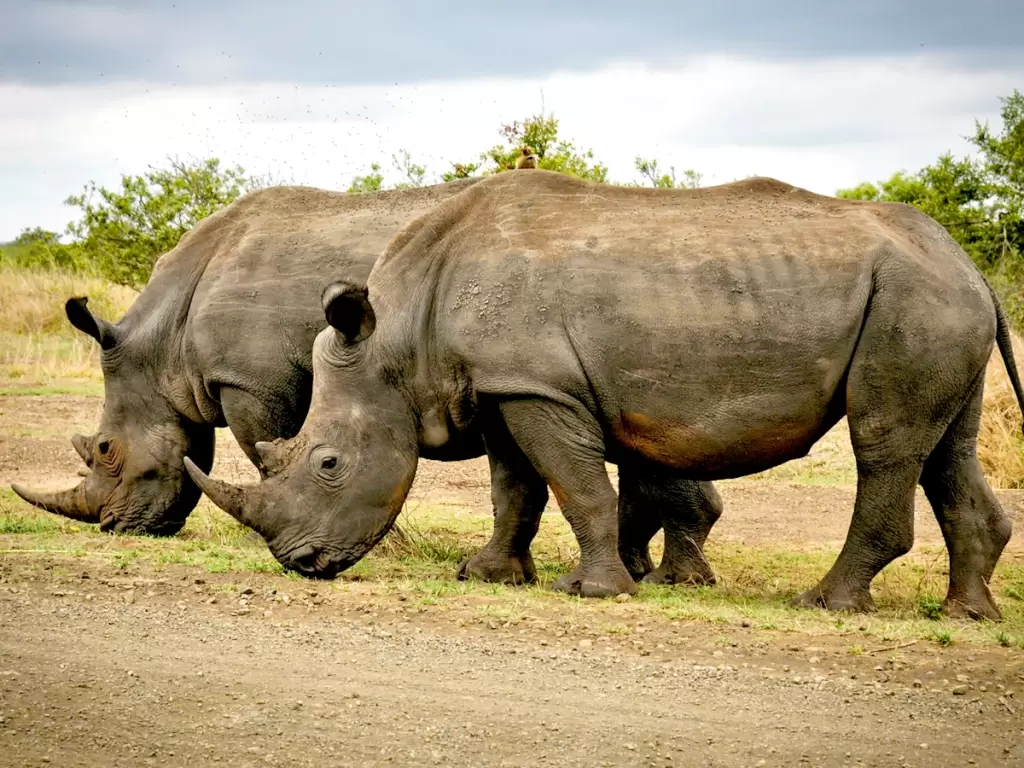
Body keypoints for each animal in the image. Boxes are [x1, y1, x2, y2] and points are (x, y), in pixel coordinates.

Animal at [10, 177, 723, 587]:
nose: (112, 526)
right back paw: (657, 573)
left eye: (106, 451)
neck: (164, 344)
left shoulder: (250, 382)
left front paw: (388, 545)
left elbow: (268, 451)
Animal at [186, 169, 1023, 620]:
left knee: (883, 441)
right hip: (934, 304)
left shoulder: (539, 387)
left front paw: (595, 592)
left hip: (913, 302)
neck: (399, 335)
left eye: (327, 463)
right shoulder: (506, 384)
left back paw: (827, 604)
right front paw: (489, 575)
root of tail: (968, 264)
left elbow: (574, 484)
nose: (301, 562)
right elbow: (514, 488)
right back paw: (967, 612)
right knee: (943, 447)